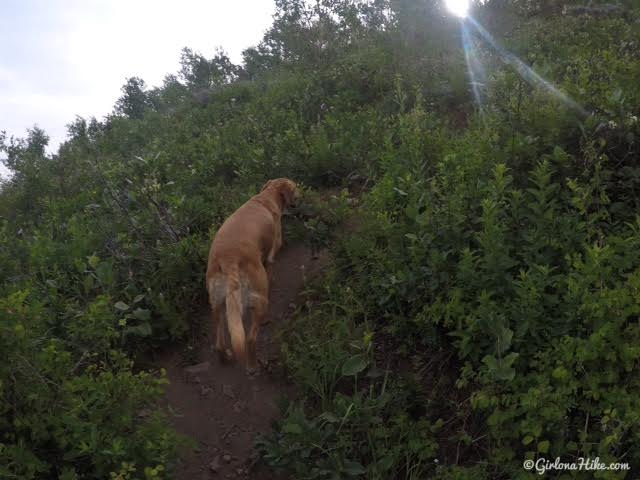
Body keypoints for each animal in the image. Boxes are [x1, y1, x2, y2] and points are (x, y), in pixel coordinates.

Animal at [205, 178, 300, 374]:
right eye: (295, 187)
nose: (301, 194)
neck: (267, 196)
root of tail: (228, 260)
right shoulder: (272, 252)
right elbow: (271, 267)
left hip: (217, 305)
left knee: (219, 343)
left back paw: (226, 358)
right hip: (260, 301)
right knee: (249, 338)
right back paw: (253, 366)